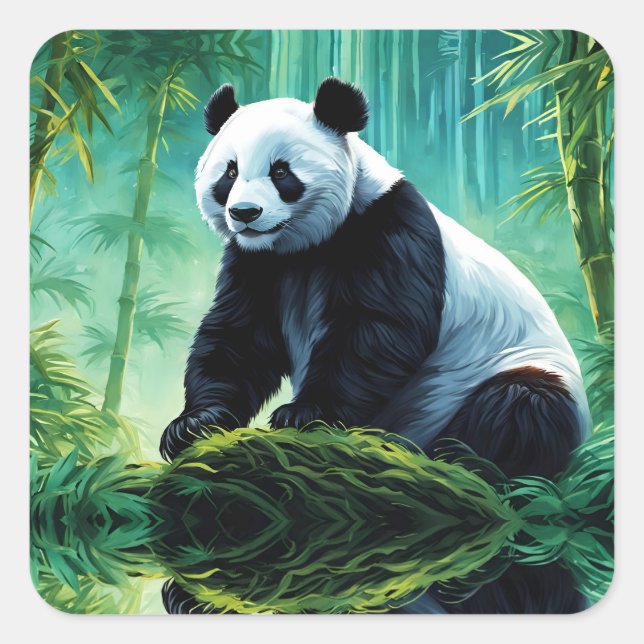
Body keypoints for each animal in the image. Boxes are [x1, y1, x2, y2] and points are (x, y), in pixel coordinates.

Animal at [160, 78, 591, 481]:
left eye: (280, 171)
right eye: (230, 172)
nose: (245, 213)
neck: (305, 245)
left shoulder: (388, 231)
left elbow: (378, 328)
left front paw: (303, 414)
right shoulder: (257, 262)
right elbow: (240, 336)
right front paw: (195, 423)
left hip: (509, 370)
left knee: (521, 407)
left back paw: (456, 457)